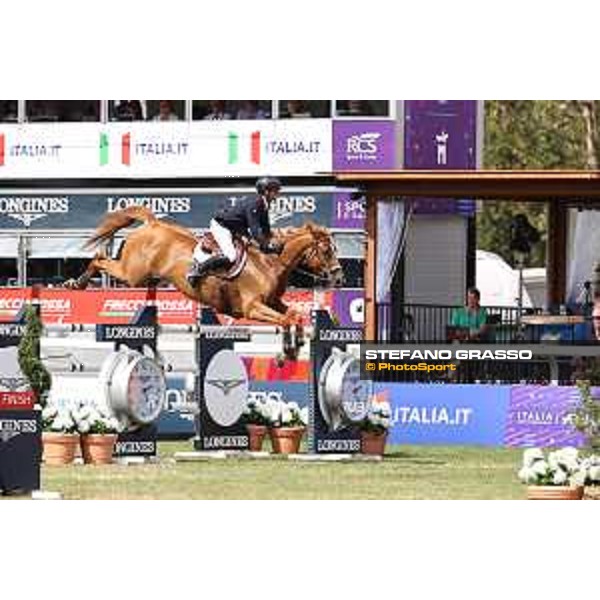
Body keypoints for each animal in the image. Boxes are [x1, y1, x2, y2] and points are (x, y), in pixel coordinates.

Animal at [64, 206, 342, 328]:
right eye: (327, 250)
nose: (339, 277)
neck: (270, 264)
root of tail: (153, 223)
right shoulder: (252, 308)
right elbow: (285, 320)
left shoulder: (273, 302)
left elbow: (292, 313)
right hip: (132, 275)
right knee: (99, 258)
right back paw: (75, 284)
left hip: (143, 277)